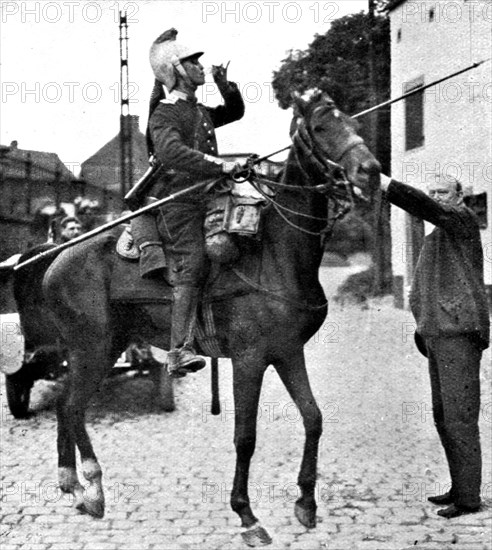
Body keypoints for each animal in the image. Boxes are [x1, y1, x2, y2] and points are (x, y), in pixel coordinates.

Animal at [42, 91, 380, 548]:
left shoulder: (288, 352)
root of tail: (53, 263)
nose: (371, 171)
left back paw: (72, 486)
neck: (277, 252)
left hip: (98, 349)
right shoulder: (249, 360)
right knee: (74, 407)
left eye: (355, 125)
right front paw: (247, 515)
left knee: (64, 405)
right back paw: (93, 490)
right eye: (322, 126)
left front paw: (306, 503)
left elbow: (313, 418)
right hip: (92, 348)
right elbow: (245, 437)